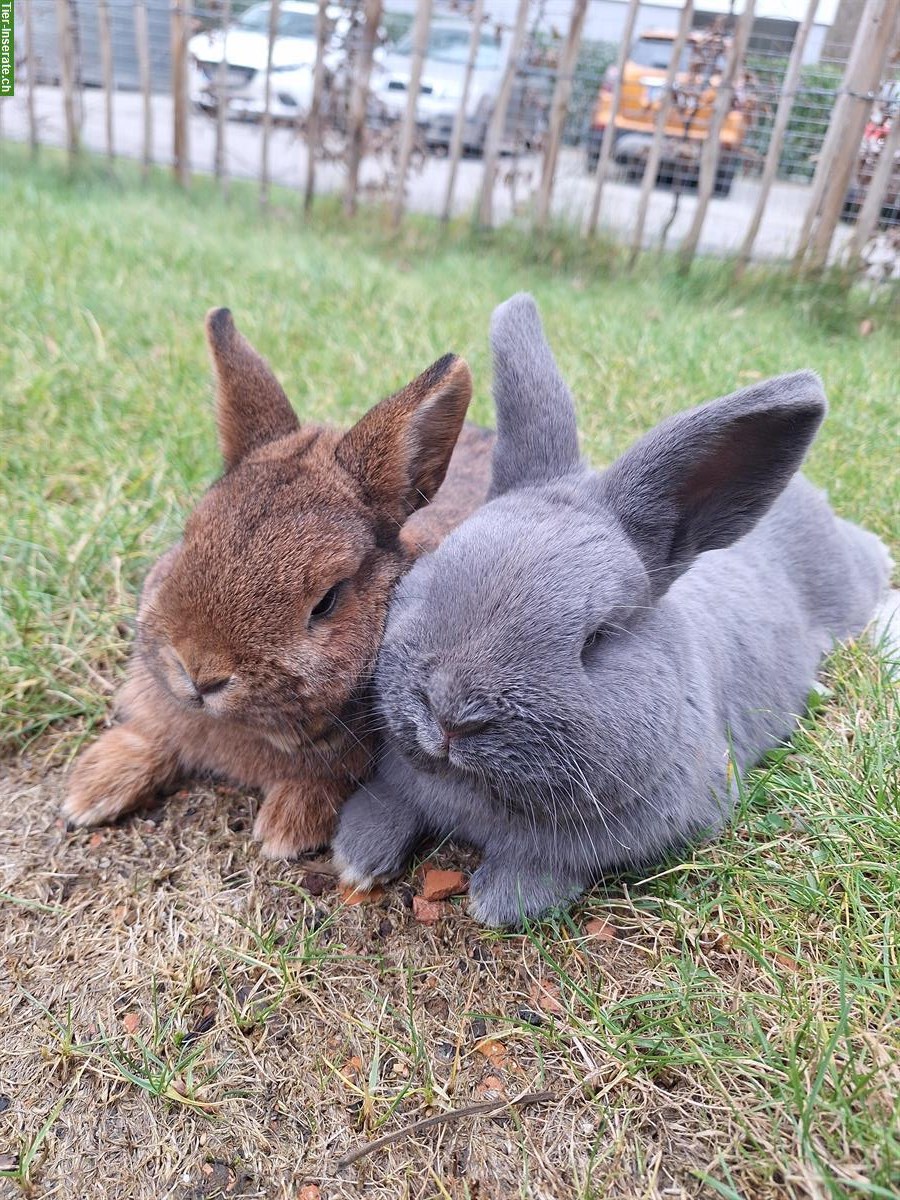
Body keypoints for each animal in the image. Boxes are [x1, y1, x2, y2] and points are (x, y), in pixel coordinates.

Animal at [336, 292, 897, 926]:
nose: (451, 716)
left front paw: (500, 902)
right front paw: (355, 857)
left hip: (846, 582)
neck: (473, 793)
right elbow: (387, 805)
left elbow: (551, 862)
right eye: (438, 564)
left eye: (599, 637)